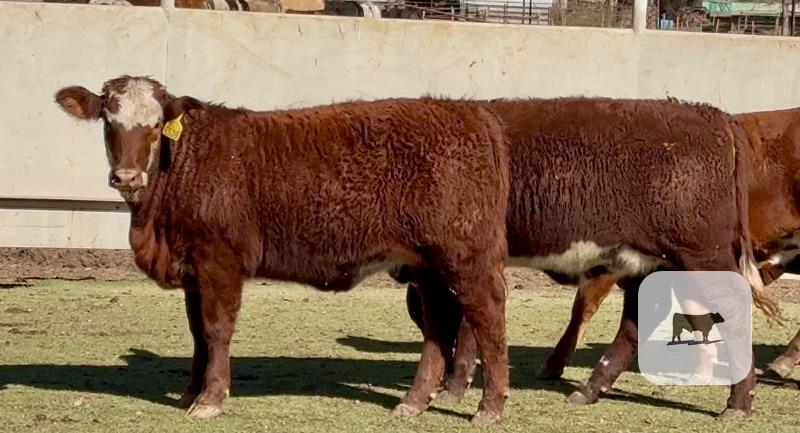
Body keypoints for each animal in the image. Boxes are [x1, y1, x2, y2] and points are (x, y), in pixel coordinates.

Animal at [53, 75, 511, 425]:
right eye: (109, 122)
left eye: (153, 125)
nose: (126, 176)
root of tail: (473, 114)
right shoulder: (193, 271)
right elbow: (197, 333)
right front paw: (189, 393)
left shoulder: (220, 261)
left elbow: (216, 330)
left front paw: (210, 399)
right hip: (427, 265)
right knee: (438, 325)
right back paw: (412, 404)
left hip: (466, 258)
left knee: (487, 317)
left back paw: (489, 408)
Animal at [400, 97, 781, 420]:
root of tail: (714, 116)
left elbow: (467, 321)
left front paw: (452, 387)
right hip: (654, 262)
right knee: (638, 321)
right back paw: (590, 389)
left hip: (701, 257)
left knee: (731, 311)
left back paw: (738, 404)